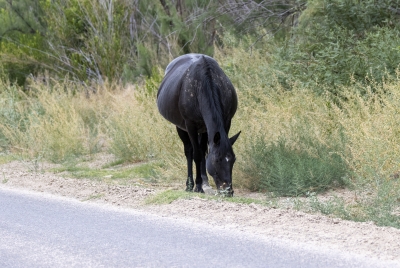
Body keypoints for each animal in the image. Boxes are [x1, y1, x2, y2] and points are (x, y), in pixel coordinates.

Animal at [157, 53, 241, 196]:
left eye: (233, 159)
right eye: (217, 160)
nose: (228, 191)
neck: (201, 86)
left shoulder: (225, 122)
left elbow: (203, 153)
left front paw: (202, 184)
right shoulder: (190, 125)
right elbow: (196, 155)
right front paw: (197, 187)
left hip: (203, 129)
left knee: (202, 150)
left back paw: (204, 182)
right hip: (181, 127)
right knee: (189, 151)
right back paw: (190, 185)